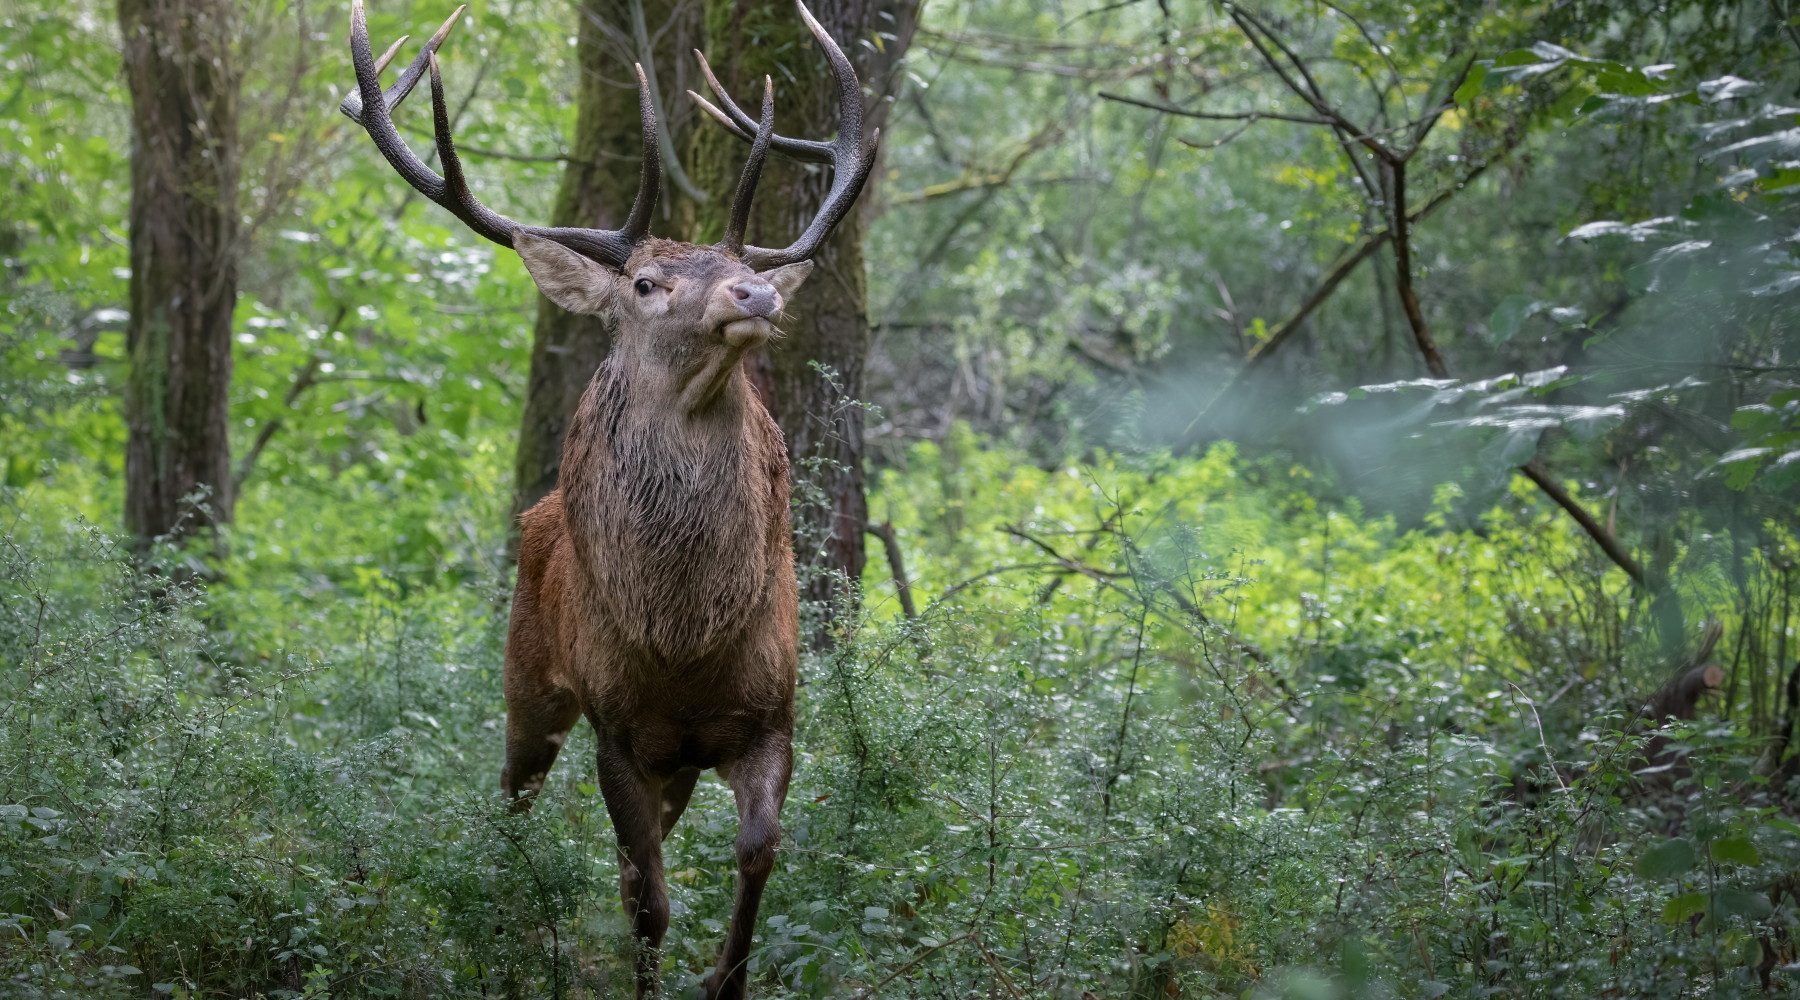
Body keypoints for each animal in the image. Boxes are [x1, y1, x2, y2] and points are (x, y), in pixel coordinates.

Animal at [339, 2, 878, 996]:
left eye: (737, 261)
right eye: (645, 282)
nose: (754, 290)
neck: (685, 642)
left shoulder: (772, 713)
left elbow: (755, 854)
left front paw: (724, 978)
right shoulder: (619, 729)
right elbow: (649, 901)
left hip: (673, 761)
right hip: (528, 682)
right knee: (514, 803)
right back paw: (501, 924)